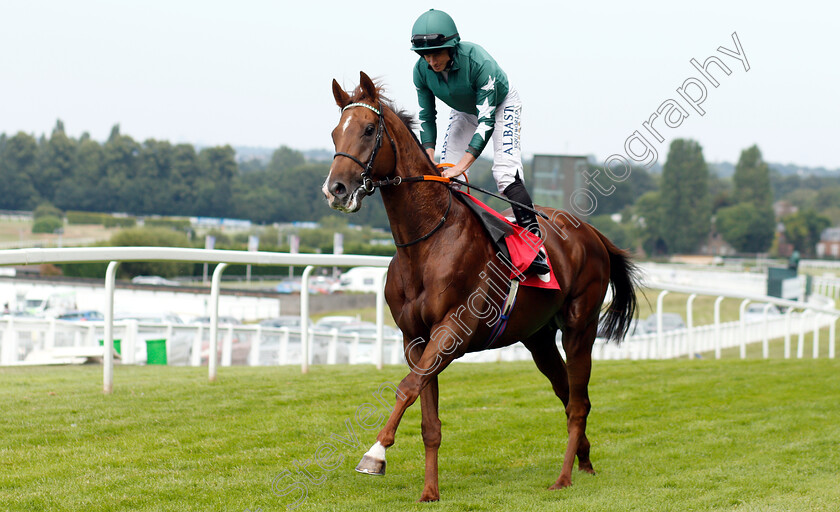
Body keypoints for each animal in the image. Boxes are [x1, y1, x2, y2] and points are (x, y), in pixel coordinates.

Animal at [322, 70, 636, 502]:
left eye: (369, 130)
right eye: (335, 132)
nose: (335, 189)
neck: (426, 240)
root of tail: (592, 233)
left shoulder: (454, 331)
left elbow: (406, 388)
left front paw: (375, 454)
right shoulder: (415, 339)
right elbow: (428, 416)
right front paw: (430, 491)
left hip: (580, 327)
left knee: (578, 403)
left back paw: (564, 477)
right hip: (538, 337)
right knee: (566, 392)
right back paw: (585, 460)